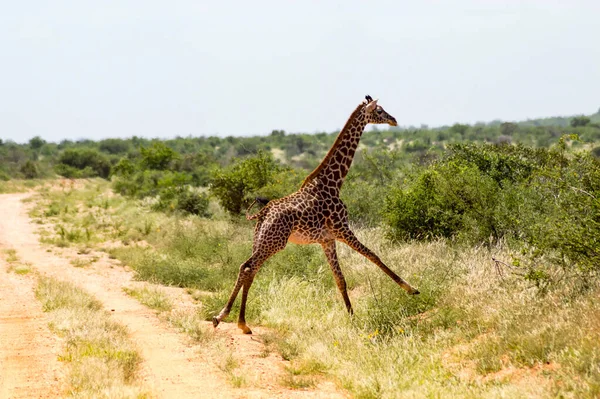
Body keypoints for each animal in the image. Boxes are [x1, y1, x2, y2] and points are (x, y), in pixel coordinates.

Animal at [213, 96, 420, 334]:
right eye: (379, 110)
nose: (393, 120)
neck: (334, 183)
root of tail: (263, 213)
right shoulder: (342, 229)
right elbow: (374, 255)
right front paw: (411, 289)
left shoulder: (327, 240)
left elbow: (340, 279)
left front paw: (352, 317)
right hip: (275, 242)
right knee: (249, 267)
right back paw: (238, 321)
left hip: (261, 239)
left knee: (246, 267)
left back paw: (227, 318)